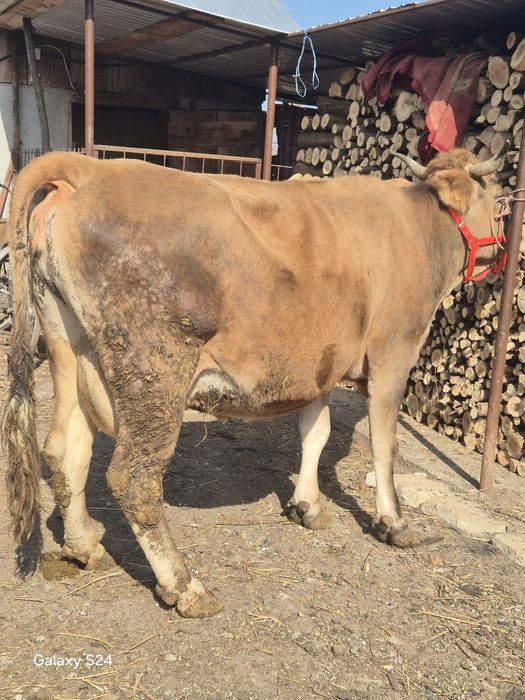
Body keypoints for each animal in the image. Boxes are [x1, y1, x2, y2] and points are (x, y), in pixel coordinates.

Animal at [4, 145, 514, 618]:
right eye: (501, 201)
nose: (509, 248)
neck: (421, 228)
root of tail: (93, 167)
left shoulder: (317, 366)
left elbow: (316, 434)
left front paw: (307, 506)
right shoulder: (394, 352)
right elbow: (385, 446)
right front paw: (394, 523)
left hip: (68, 347)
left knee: (64, 449)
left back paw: (85, 546)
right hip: (155, 368)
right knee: (135, 476)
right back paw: (185, 587)